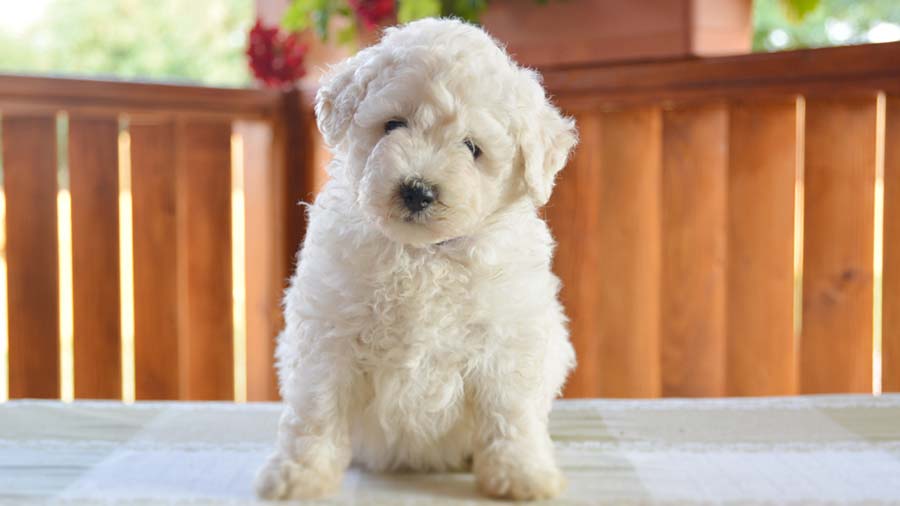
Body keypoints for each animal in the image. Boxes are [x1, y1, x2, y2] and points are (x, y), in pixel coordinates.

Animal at [255, 17, 576, 500]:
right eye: (393, 124)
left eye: (472, 147)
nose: (417, 190)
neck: (423, 255)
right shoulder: (330, 335)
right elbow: (316, 412)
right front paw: (299, 475)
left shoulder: (507, 338)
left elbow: (510, 411)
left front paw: (521, 474)